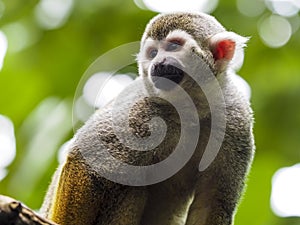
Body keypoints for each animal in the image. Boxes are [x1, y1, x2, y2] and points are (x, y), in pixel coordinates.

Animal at [39, 12, 255, 225]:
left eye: (173, 46)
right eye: (152, 54)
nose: (157, 63)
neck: (190, 110)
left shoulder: (236, 120)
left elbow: (213, 202)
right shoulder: (138, 110)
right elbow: (85, 158)